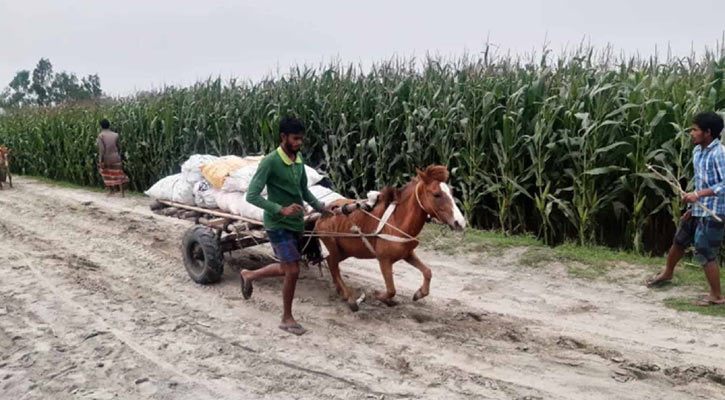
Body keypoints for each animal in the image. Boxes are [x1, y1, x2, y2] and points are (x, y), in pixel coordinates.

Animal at [314, 164, 466, 310]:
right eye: (437, 194)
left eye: (452, 193)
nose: (460, 222)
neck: (396, 222)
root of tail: (323, 212)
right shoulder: (384, 260)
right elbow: (392, 289)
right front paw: (380, 296)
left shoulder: (407, 253)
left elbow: (428, 272)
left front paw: (418, 294)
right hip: (333, 247)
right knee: (333, 265)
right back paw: (350, 298)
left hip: (345, 251)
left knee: (331, 264)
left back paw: (341, 291)